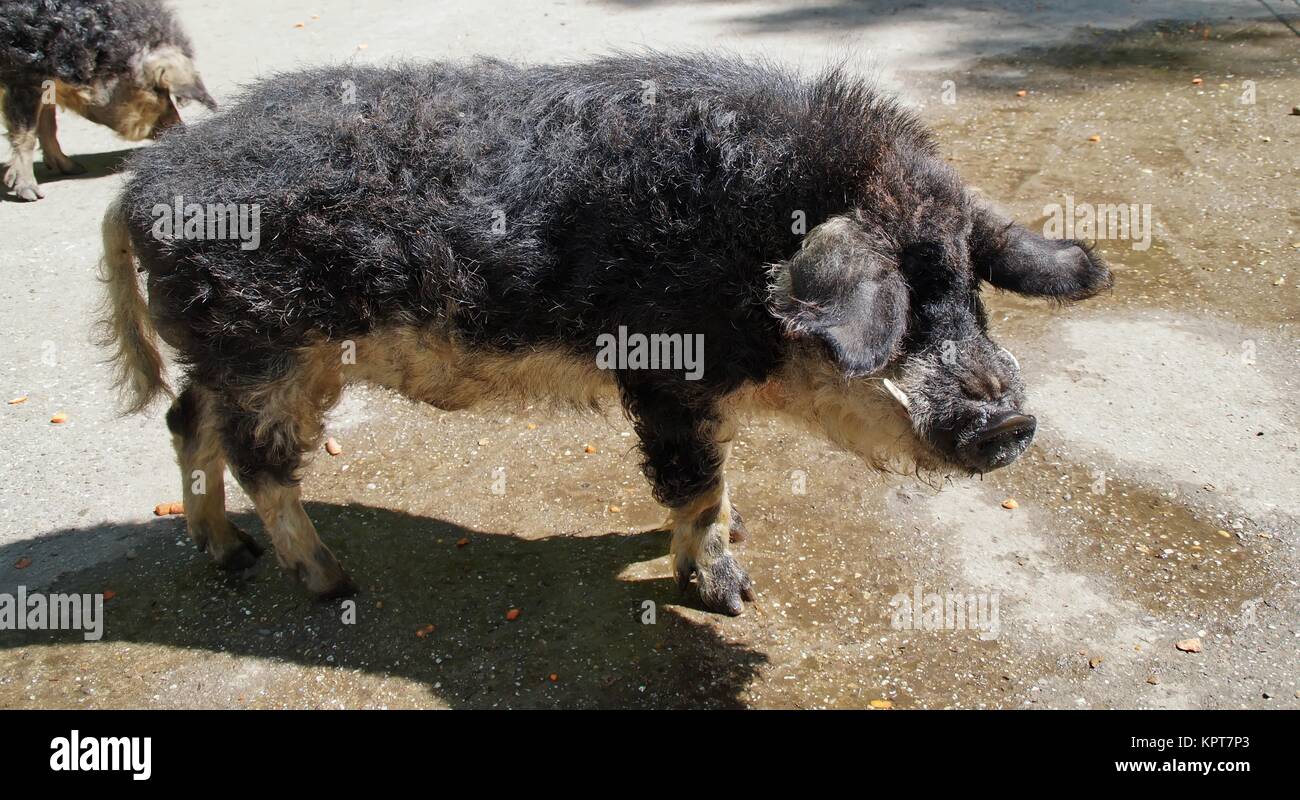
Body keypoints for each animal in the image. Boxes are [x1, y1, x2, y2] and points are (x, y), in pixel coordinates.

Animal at [0, 0, 216, 201]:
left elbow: (48, 123)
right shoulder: (21, 76)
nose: (182, 132)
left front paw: (74, 168)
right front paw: (31, 194)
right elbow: (26, 133)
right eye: (158, 90)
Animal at [98, 55, 1111, 615]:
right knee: (259, 459)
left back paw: (227, 555)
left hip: (241, 354)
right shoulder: (663, 375)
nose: (1013, 422)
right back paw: (330, 583)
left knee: (188, 424)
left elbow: (719, 480)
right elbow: (693, 484)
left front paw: (743, 529)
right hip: (266, 351)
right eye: (906, 296)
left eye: (972, 288)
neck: (750, 247)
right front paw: (733, 598)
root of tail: (142, 187)